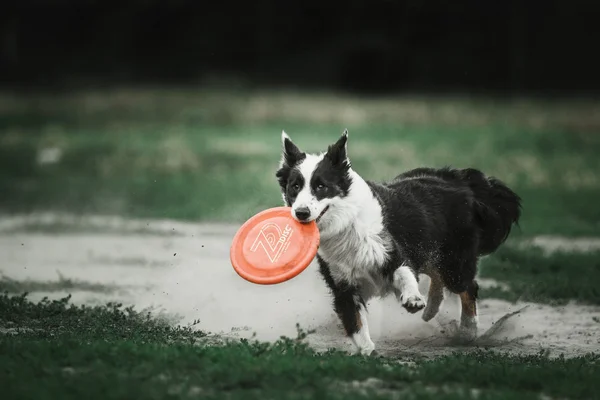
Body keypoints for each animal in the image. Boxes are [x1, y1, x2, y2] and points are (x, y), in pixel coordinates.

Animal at [276, 130, 520, 354]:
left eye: (321, 186)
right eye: (294, 186)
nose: (301, 213)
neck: (347, 226)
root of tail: (458, 180)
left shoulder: (392, 252)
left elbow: (404, 273)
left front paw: (413, 299)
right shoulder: (342, 283)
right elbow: (355, 322)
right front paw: (367, 351)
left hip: (453, 262)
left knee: (467, 286)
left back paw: (467, 330)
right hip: (429, 251)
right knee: (438, 277)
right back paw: (432, 310)